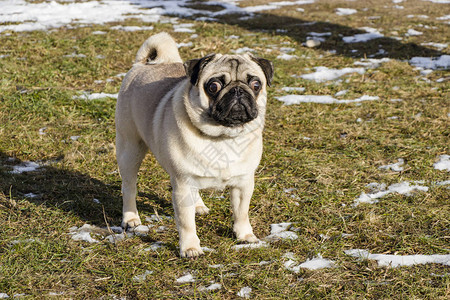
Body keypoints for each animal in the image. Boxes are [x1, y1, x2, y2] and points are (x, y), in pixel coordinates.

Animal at [114, 32, 272, 258]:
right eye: (213, 86)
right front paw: (190, 248)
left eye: (256, 85)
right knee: (129, 187)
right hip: (130, 149)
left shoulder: (243, 183)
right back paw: (131, 218)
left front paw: (245, 235)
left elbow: (241, 213)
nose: (238, 92)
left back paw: (198, 205)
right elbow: (186, 223)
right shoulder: (182, 186)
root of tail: (144, 64)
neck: (223, 137)